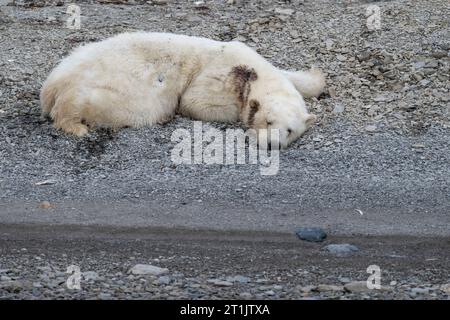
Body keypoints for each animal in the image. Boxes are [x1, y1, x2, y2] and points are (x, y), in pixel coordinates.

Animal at [41, 31, 324, 148]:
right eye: (268, 121)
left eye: (290, 130)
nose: (272, 145)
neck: (250, 71)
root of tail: (52, 83)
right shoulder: (216, 75)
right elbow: (194, 101)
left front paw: (315, 76)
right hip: (110, 89)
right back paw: (76, 126)